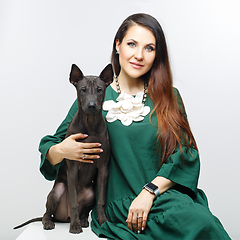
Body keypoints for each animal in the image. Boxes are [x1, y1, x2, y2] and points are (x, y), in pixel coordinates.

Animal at [14, 62, 113, 233]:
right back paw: (52, 222)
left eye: (100, 89)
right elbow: (73, 202)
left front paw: (103, 221)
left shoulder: (103, 168)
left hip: (91, 193)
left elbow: (101, 201)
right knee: (47, 212)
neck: (90, 124)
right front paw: (75, 227)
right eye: (82, 89)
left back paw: (83, 220)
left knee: (85, 208)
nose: (91, 106)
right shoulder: (72, 168)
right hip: (57, 191)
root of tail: (62, 218)